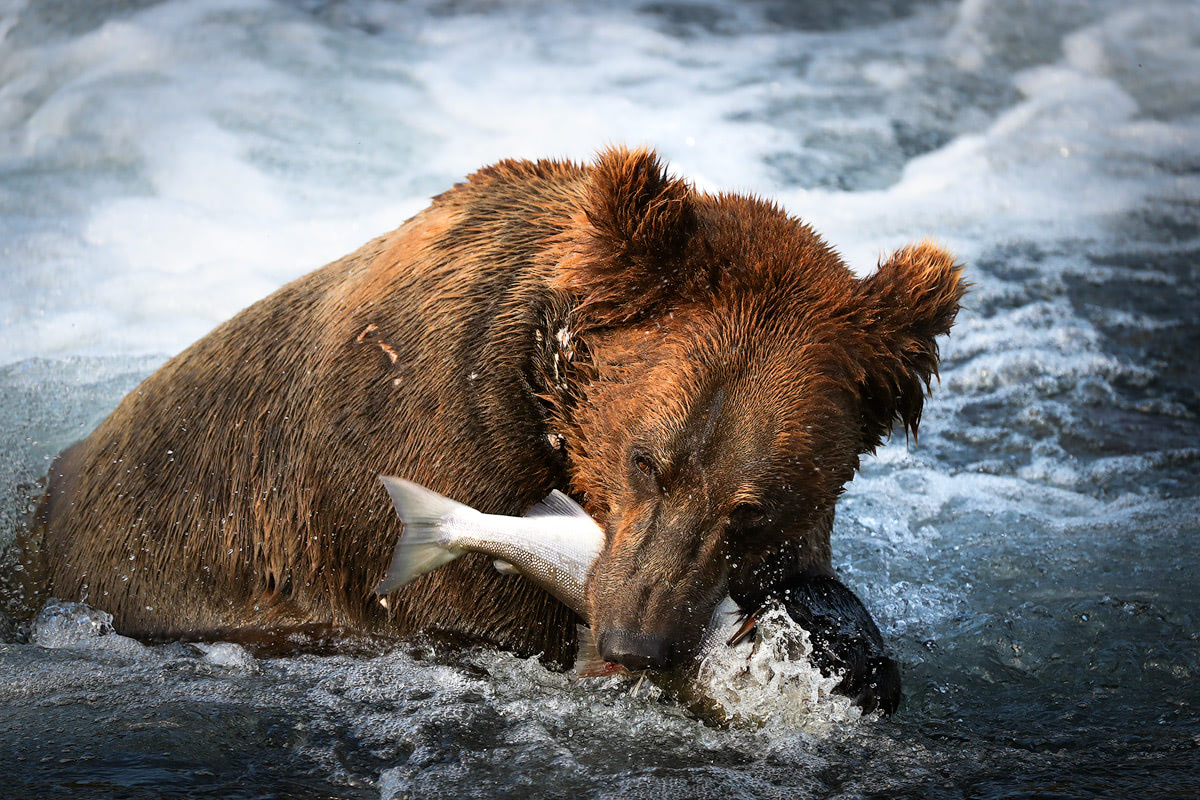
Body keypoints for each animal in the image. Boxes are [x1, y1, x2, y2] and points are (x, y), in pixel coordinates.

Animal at [16, 143, 964, 714]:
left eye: (756, 505)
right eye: (648, 460)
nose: (638, 641)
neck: (545, 395)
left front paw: (847, 647)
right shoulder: (423, 442)